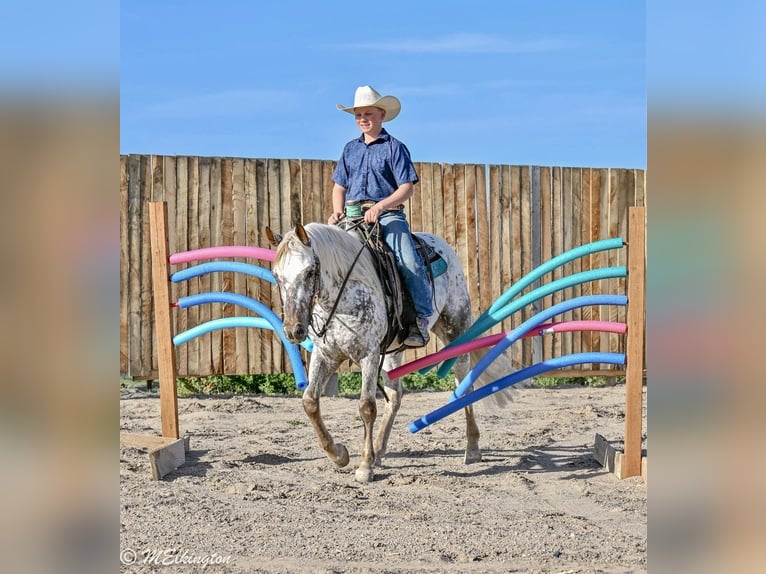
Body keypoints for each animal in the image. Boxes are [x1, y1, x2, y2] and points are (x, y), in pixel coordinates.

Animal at [266, 222, 514, 483]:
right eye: (277, 276)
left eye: (309, 272)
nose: (294, 330)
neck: (344, 295)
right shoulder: (326, 355)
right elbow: (310, 402)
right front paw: (339, 454)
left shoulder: (369, 354)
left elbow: (366, 407)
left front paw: (364, 466)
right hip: (393, 351)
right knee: (395, 394)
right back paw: (379, 449)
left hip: (455, 328)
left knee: (464, 382)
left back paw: (472, 448)